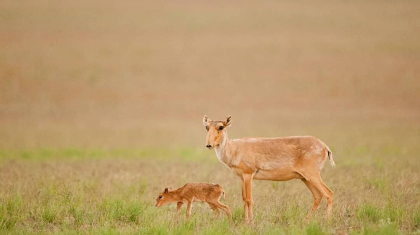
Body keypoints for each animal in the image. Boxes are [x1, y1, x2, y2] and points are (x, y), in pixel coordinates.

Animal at [202, 115, 336, 224]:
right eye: (207, 127)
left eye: (221, 127)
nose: (209, 145)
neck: (235, 148)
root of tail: (324, 146)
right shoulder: (242, 178)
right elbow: (244, 199)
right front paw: (245, 222)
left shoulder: (248, 175)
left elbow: (249, 199)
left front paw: (251, 224)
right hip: (305, 178)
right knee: (318, 196)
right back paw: (306, 221)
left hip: (313, 176)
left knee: (328, 193)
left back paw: (327, 222)